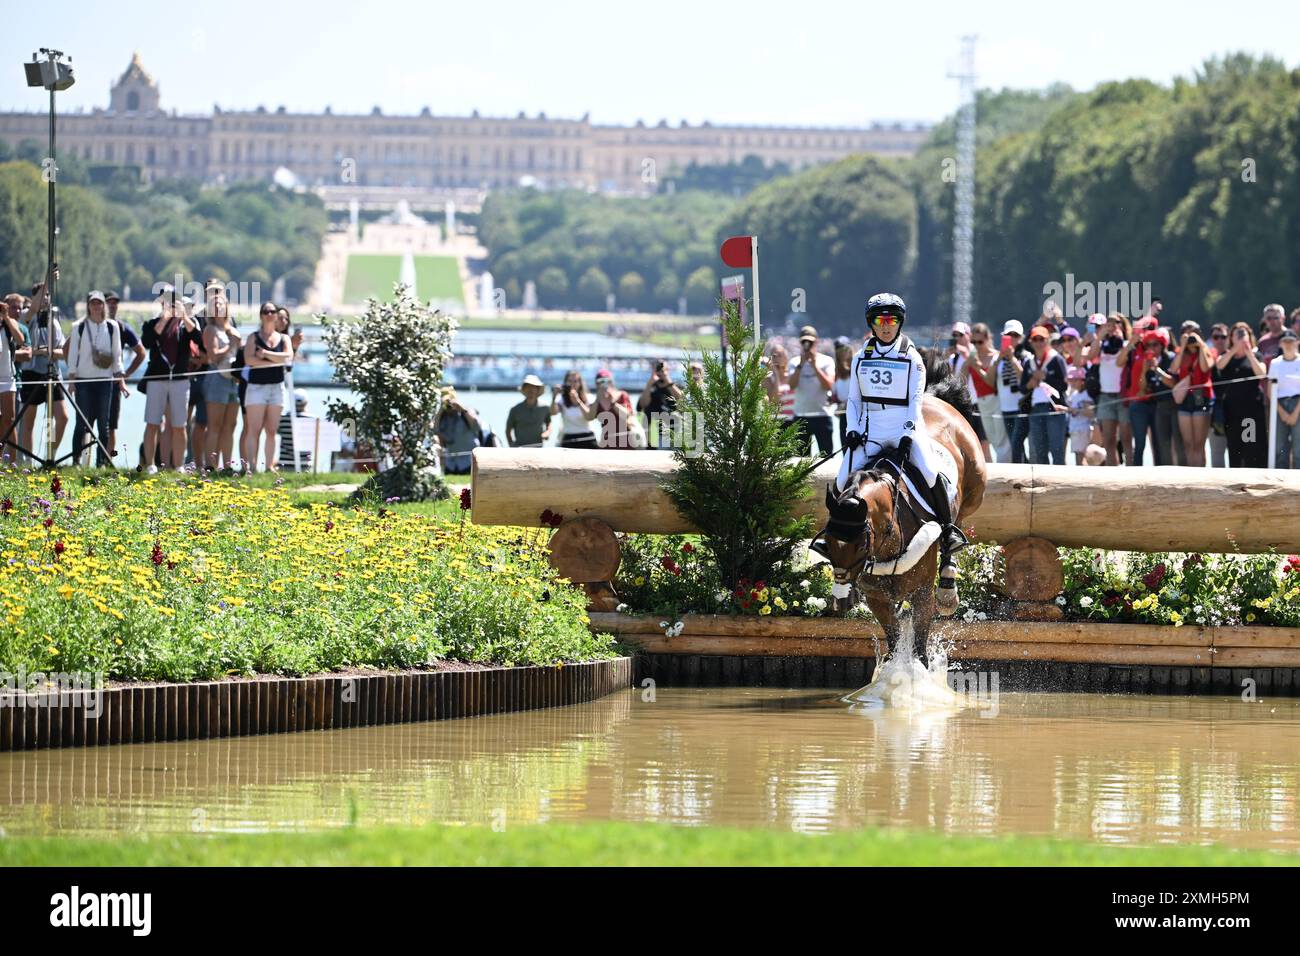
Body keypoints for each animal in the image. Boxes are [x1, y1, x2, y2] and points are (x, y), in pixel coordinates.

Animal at [811, 348, 982, 671]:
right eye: (828, 542)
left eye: (861, 543)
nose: (841, 601)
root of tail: (933, 397)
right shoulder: (877, 597)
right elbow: (893, 644)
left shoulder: (921, 594)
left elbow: (920, 652)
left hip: (973, 492)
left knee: (955, 526)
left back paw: (948, 585)